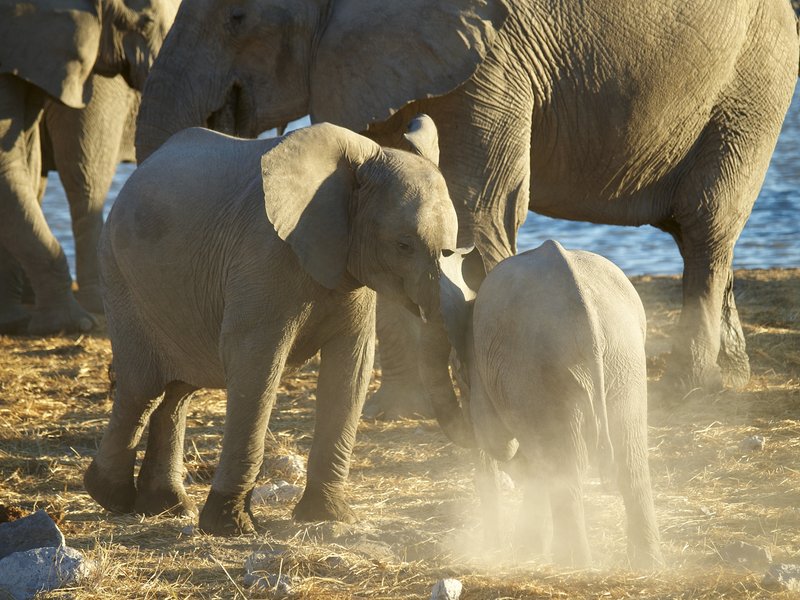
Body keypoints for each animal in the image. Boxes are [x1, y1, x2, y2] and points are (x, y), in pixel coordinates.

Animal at [83, 115, 459, 536]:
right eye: (403, 246)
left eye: (453, 249)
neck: (362, 160)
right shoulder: (263, 257)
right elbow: (256, 366)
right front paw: (232, 526)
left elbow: (351, 368)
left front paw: (329, 517)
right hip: (121, 277)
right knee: (143, 388)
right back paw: (110, 496)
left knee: (178, 392)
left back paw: (166, 506)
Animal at [133, 0, 799, 411]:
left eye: (238, 16)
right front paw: (398, 408)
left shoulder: (491, 57)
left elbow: (478, 208)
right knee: (702, 234)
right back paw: (730, 379)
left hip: (753, 84)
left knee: (706, 224)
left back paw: (688, 393)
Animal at [427, 240, 662, 569]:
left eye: (459, 373)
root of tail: (586, 313)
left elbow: (499, 442)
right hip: (623, 358)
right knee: (629, 457)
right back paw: (647, 565)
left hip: (543, 367)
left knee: (565, 466)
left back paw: (575, 565)